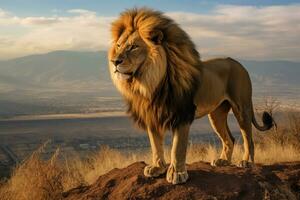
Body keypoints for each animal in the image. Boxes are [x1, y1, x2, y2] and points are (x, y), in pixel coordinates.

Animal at [107, 7, 274, 184]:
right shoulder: (152, 115)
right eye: (118, 46)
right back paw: (223, 161)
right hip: (216, 114)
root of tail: (239, 63)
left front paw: (177, 174)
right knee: (230, 138)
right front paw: (157, 168)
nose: (114, 61)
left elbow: (177, 148)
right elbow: (155, 145)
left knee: (248, 138)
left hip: (242, 107)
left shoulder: (182, 114)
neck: (149, 82)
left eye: (133, 47)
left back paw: (246, 162)